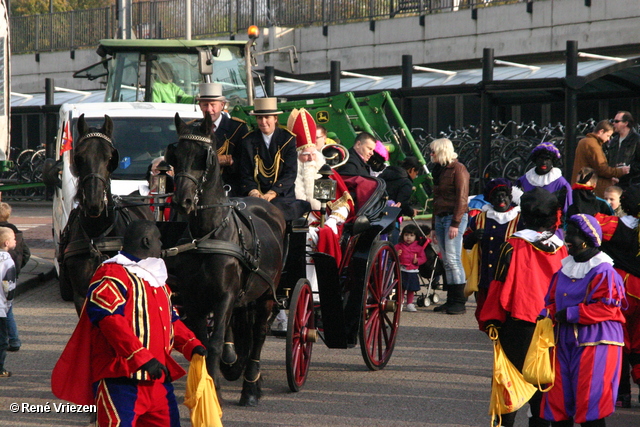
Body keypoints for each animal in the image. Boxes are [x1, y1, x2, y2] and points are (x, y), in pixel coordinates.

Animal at [165, 113, 284, 408]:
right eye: (175, 154)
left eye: (203, 156)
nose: (183, 201)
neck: (208, 233)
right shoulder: (194, 299)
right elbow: (204, 344)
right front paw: (208, 388)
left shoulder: (225, 296)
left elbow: (216, 342)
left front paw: (215, 392)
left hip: (267, 294)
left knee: (259, 335)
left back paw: (250, 387)